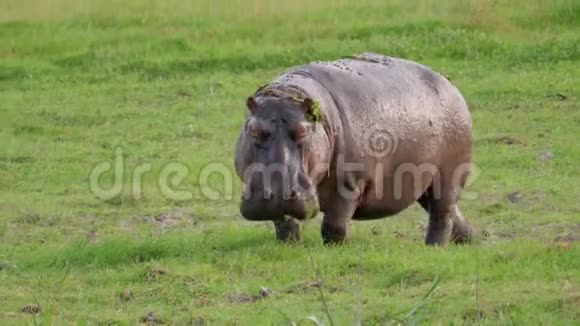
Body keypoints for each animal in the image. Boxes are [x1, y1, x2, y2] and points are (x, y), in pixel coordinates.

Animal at [233, 51, 474, 244]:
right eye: (253, 129)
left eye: (303, 130)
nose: (277, 194)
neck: (290, 94)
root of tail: (450, 85)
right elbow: (284, 223)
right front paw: (288, 245)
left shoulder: (350, 184)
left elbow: (334, 225)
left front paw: (338, 248)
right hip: (424, 183)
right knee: (449, 211)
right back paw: (468, 240)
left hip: (447, 176)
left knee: (441, 213)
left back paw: (433, 246)